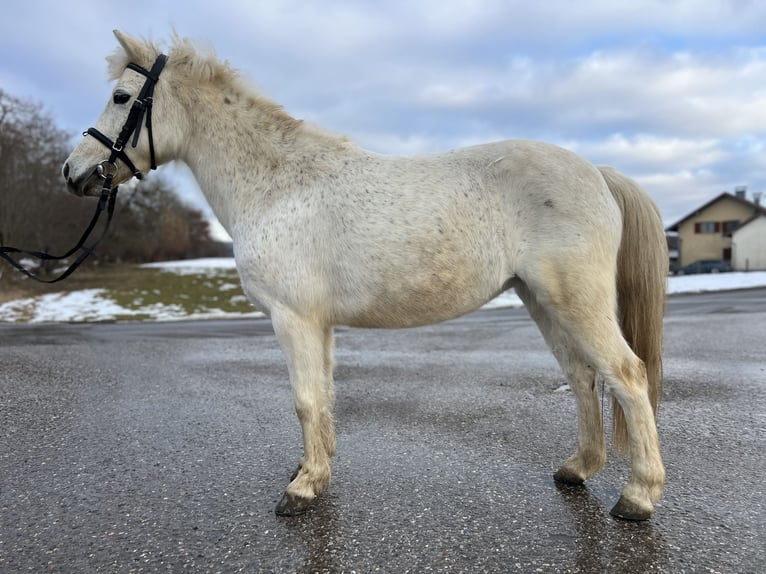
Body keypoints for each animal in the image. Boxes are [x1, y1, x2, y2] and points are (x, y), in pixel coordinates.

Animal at [63, 31, 668, 520]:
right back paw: (578, 469)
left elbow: (306, 399)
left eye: (121, 97)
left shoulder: (293, 319)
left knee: (626, 374)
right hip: (540, 299)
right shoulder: (319, 324)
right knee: (583, 375)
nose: (73, 173)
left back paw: (637, 497)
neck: (277, 185)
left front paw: (301, 492)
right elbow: (324, 397)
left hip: (575, 300)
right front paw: (314, 472)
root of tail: (597, 172)